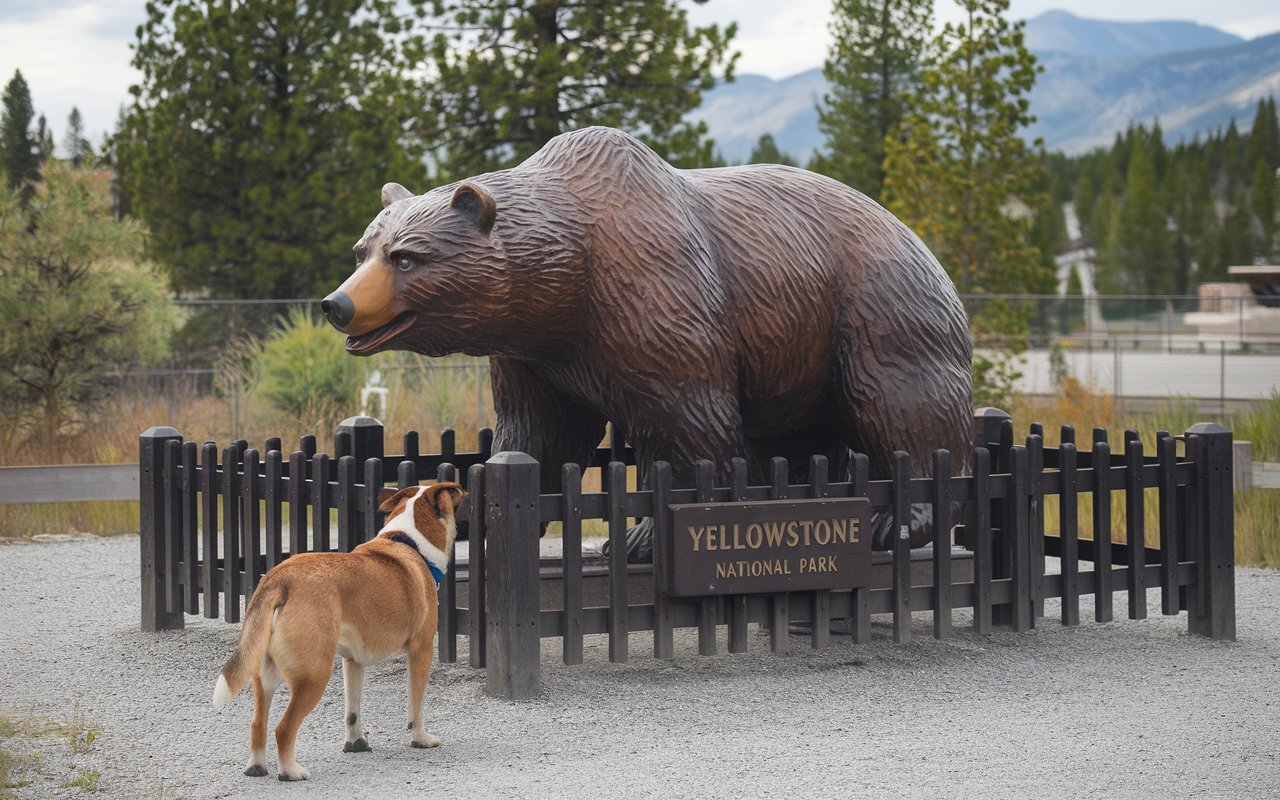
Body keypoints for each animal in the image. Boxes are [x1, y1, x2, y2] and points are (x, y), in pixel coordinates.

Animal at [209, 481, 465, 778]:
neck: (407, 541)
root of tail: (279, 579)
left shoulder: (353, 661)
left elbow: (352, 711)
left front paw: (355, 743)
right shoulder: (421, 650)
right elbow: (416, 704)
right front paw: (421, 739)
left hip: (265, 675)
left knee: (257, 724)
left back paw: (257, 767)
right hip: (314, 675)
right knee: (283, 729)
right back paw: (291, 772)